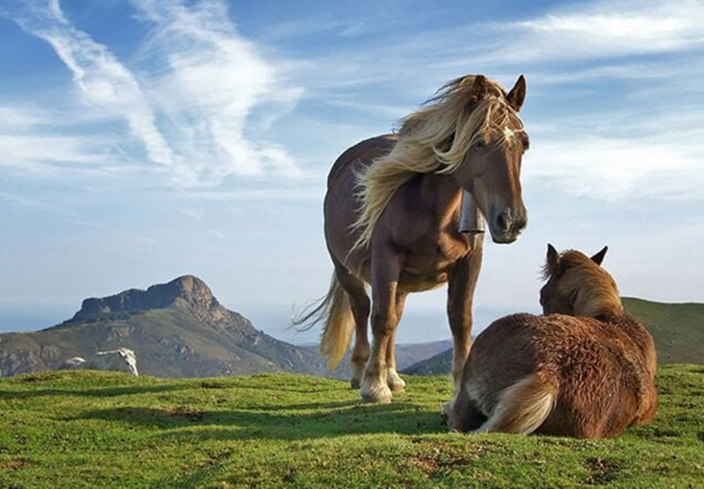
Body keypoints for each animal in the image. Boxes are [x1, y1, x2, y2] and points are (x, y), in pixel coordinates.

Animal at [295, 74, 530, 403]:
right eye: (479, 142)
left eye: (524, 144)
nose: (511, 221)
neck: (433, 209)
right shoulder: (385, 260)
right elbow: (380, 319)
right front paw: (374, 386)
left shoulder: (469, 263)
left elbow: (460, 321)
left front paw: (459, 387)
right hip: (347, 269)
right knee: (362, 310)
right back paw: (361, 371)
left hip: (404, 280)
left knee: (396, 317)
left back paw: (392, 375)